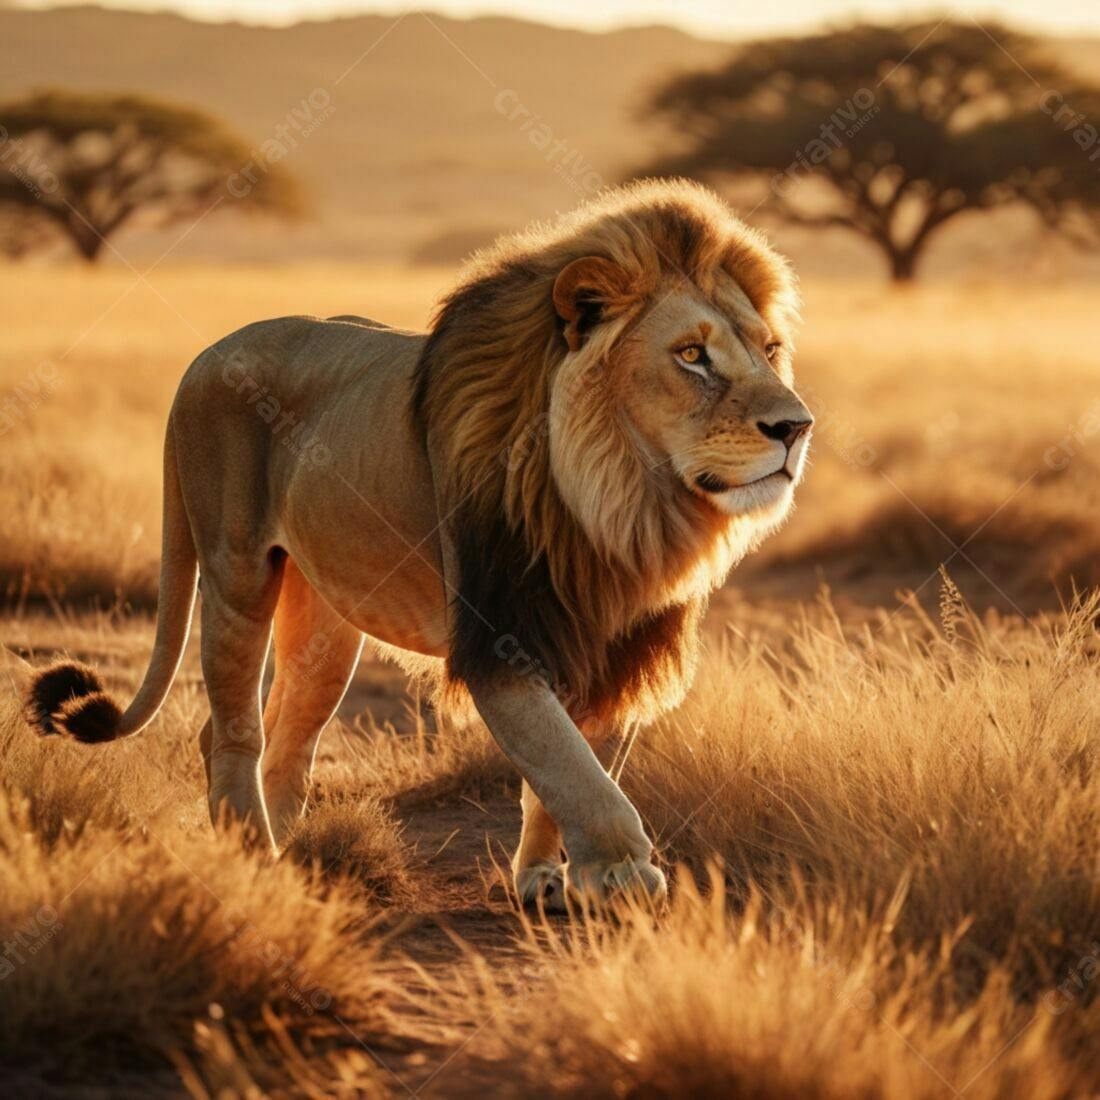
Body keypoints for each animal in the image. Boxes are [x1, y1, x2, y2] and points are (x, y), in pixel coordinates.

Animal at [25, 179, 811, 909]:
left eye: (770, 350)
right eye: (692, 355)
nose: (797, 427)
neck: (624, 506)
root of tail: (205, 356)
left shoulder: (623, 644)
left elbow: (577, 765)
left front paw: (544, 878)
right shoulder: (500, 637)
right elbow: (571, 767)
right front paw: (619, 872)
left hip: (325, 622)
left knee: (281, 737)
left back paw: (278, 855)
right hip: (234, 572)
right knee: (233, 728)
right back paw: (253, 857)